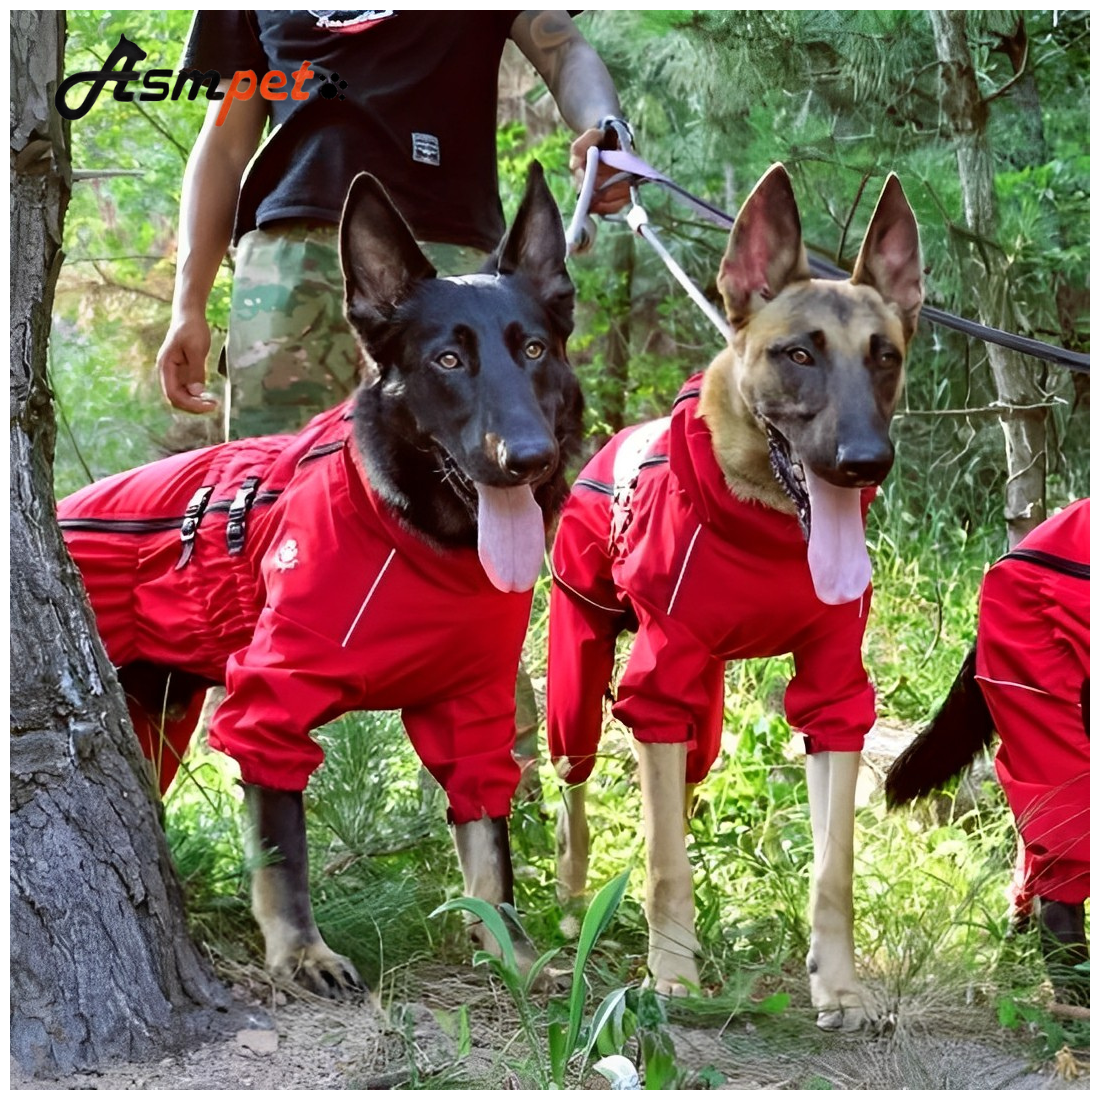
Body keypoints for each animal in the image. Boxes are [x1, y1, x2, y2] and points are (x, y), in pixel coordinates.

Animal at [59, 162, 585, 998]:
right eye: (447, 361)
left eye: (534, 348)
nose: (528, 460)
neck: (414, 534)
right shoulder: (267, 709)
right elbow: (285, 853)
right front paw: (301, 952)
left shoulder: (472, 711)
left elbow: (489, 855)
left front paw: (514, 954)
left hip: (157, 723)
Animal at [547, 165, 919, 1029]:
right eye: (799, 354)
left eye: (884, 356)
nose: (865, 462)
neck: (767, 525)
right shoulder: (655, 689)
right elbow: (664, 864)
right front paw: (672, 977)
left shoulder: (835, 699)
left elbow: (833, 867)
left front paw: (839, 984)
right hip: (581, 691)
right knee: (576, 797)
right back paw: (576, 903)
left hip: (703, 723)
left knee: (675, 797)